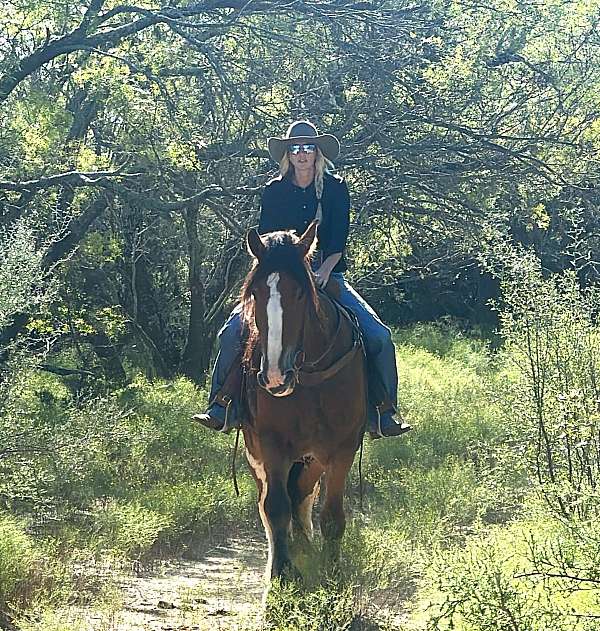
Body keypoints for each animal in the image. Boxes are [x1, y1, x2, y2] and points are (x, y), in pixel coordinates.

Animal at [239, 221, 366, 584]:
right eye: (256, 293)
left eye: (299, 292)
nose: (275, 376)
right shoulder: (271, 445)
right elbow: (275, 508)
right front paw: (281, 576)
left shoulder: (342, 449)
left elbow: (332, 516)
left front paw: (332, 575)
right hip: (259, 455)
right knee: (272, 502)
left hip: (313, 458)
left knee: (302, 496)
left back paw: (305, 548)